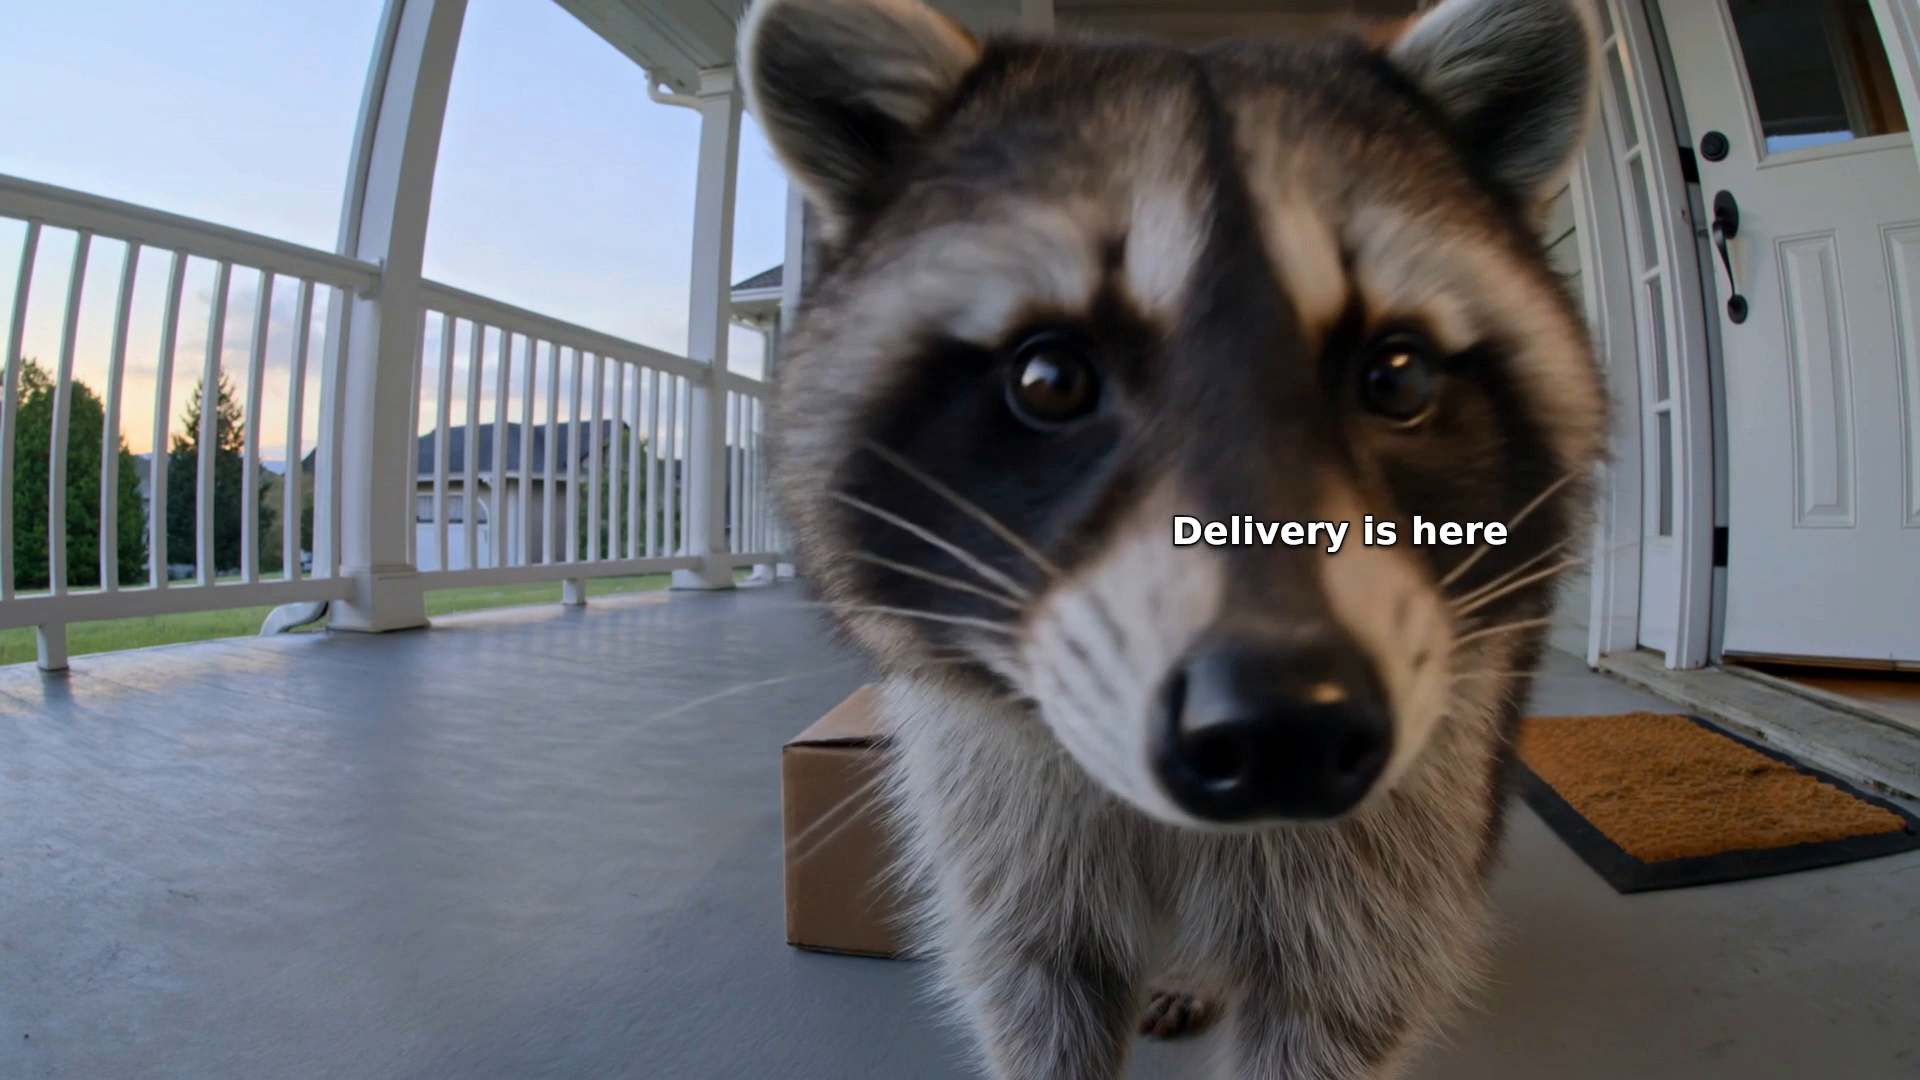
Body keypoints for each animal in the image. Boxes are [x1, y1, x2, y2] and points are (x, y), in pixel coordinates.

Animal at [740, 0, 1606, 1075]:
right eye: (1049, 380)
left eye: (1398, 376)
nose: (1285, 727)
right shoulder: (993, 781)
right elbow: (1034, 974)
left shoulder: (1411, 782)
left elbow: (1342, 990)